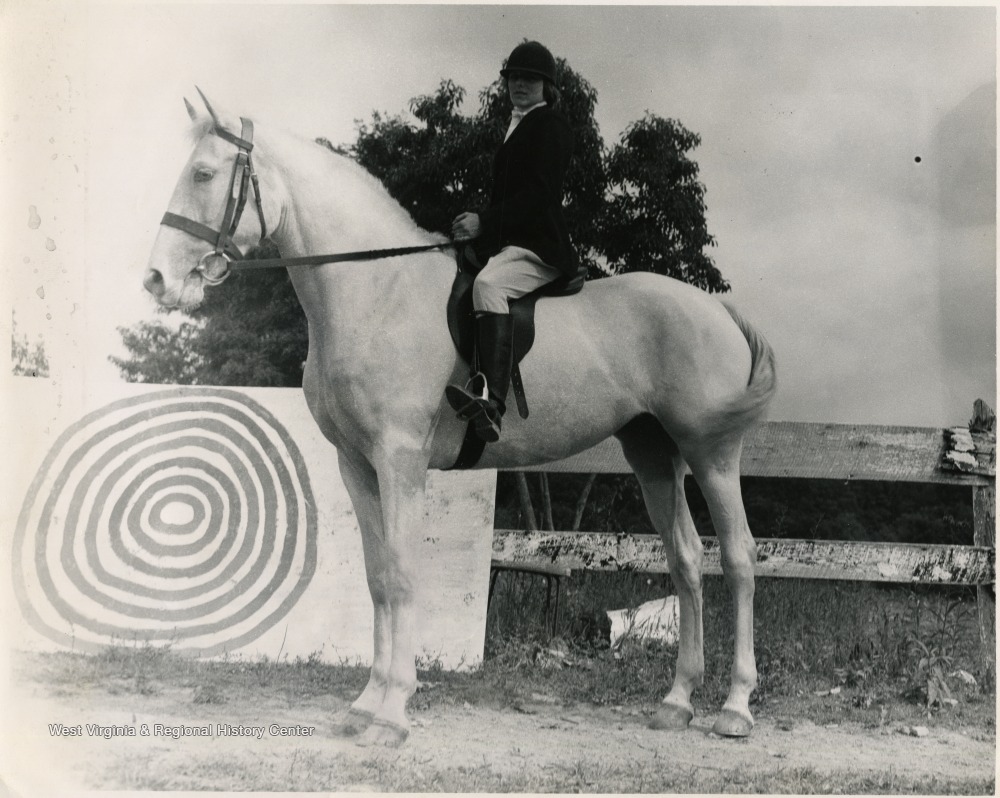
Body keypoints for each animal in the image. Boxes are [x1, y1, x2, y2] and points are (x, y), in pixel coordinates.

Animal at [145, 95, 776, 752]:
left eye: (203, 174)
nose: (158, 280)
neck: (375, 290)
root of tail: (715, 308)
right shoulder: (357, 465)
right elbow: (377, 579)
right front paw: (365, 705)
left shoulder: (400, 460)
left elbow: (401, 576)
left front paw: (393, 713)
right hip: (653, 454)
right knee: (686, 560)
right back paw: (676, 701)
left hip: (711, 452)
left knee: (738, 558)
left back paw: (735, 706)